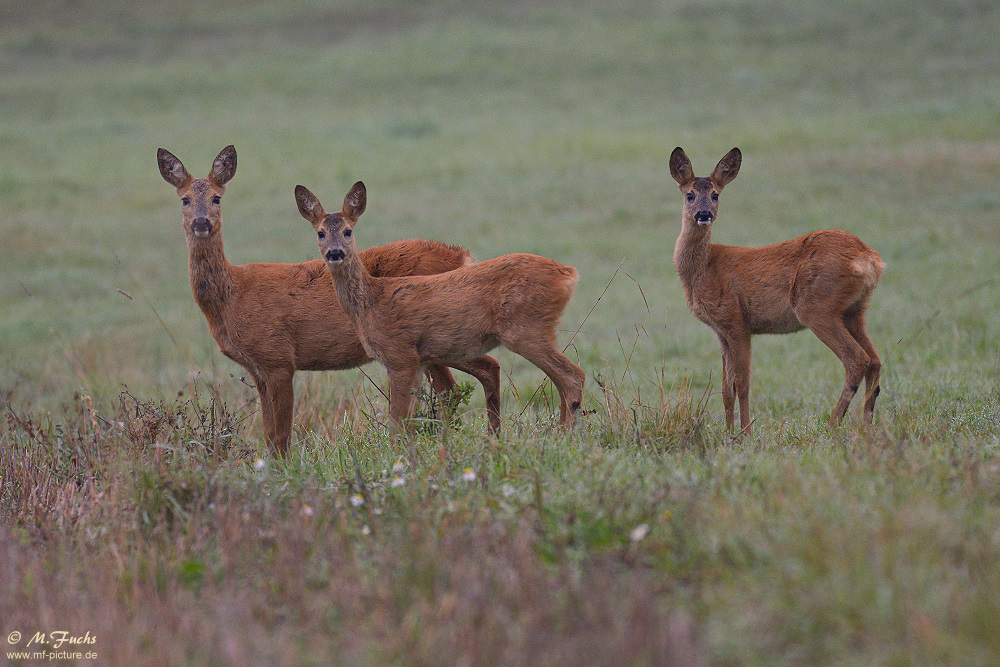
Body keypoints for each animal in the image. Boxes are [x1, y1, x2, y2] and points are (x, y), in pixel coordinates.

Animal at [156, 145, 500, 460]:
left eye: (217, 197)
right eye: (184, 199)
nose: (201, 222)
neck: (231, 296)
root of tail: (463, 255)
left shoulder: (278, 357)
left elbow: (281, 433)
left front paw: (285, 473)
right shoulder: (257, 367)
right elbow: (268, 432)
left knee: (468, 380)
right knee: (465, 381)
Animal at [292, 183, 584, 434]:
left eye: (348, 231)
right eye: (320, 232)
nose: (335, 253)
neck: (372, 302)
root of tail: (567, 273)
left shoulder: (401, 355)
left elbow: (397, 421)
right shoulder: (418, 361)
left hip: (525, 328)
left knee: (573, 376)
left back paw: (566, 436)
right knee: (561, 380)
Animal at [672, 146, 884, 434]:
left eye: (715, 194)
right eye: (689, 194)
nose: (704, 214)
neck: (704, 268)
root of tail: (869, 258)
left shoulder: (737, 321)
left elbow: (743, 384)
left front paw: (745, 433)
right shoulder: (720, 330)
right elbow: (726, 388)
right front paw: (729, 433)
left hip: (817, 306)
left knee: (857, 360)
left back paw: (832, 424)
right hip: (855, 310)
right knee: (875, 360)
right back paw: (866, 425)